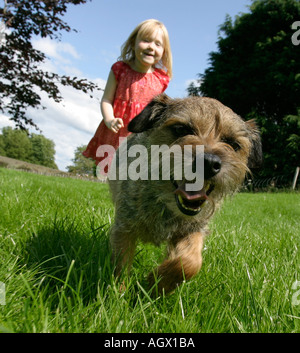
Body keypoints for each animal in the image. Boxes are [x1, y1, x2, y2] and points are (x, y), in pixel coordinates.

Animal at [107, 93, 260, 294]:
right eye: (181, 129)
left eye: (233, 144)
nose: (209, 162)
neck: (164, 203)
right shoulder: (124, 228)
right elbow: (121, 266)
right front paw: (118, 294)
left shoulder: (193, 229)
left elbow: (189, 263)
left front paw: (158, 283)